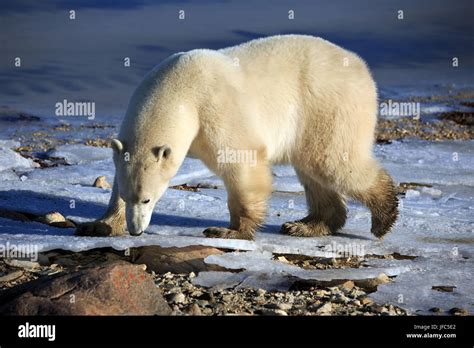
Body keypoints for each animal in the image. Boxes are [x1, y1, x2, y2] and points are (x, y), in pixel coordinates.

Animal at [76, 36, 398, 242]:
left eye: (147, 198)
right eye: (129, 196)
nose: (136, 230)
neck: (179, 88)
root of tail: (360, 65)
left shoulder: (214, 107)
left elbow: (242, 162)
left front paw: (230, 231)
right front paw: (99, 225)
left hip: (327, 104)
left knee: (332, 161)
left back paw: (383, 217)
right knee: (312, 169)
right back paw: (306, 225)